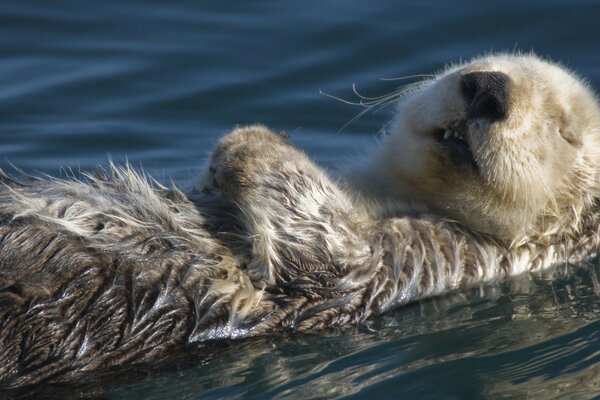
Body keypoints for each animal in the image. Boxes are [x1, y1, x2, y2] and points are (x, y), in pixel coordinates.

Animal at [1, 53, 600, 388]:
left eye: (565, 131)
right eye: (488, 66)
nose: (489, 88)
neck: (384, 194)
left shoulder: (428, 258)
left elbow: (326, 253)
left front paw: (250, 141)